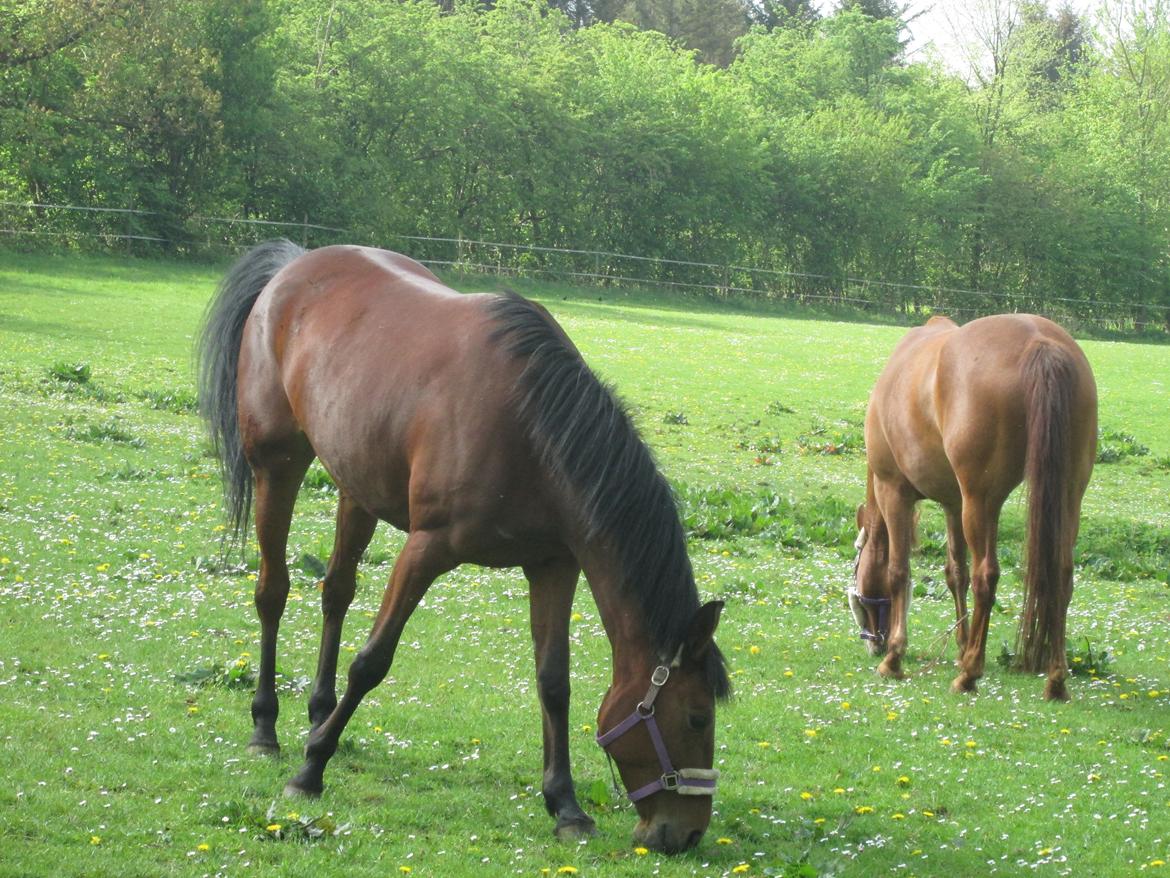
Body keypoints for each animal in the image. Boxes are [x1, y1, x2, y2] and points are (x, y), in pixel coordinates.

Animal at [198, 241, 730, 852]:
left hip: (357, 487)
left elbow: (554, 683)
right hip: (277, 466)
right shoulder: (426, 550)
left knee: (336, 592)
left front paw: (566, 805)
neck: (529, 427)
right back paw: (266, 727)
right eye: (696, 718)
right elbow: (372, 661)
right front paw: (310, 772)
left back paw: (318, 715)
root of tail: (293, 264)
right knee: (273, 592)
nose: (686, 833)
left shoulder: (553, 564)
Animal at [851, 313, 1095, 702]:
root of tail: (1039, 343)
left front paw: (895, 658)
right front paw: (962, 644)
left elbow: (899, 572)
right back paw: (1055, 680)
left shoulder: (894, 492)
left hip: (981, 502)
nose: (874, 642)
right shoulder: (953, 503)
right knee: (1061, 574)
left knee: (986, 576)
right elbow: (955, 574)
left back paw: (969, 674)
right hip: (1067, 495)